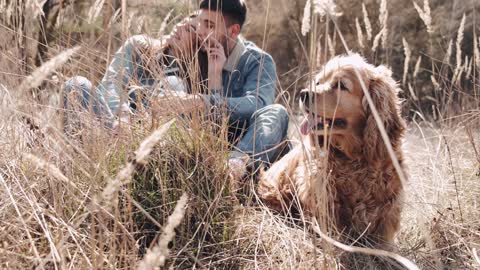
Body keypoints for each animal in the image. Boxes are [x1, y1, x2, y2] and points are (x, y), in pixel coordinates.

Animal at [258, 53, 408, 248]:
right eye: (319, 82)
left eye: (341, 85)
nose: (304, 94)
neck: (354, 158)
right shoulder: (322, 197)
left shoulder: (388, 208)